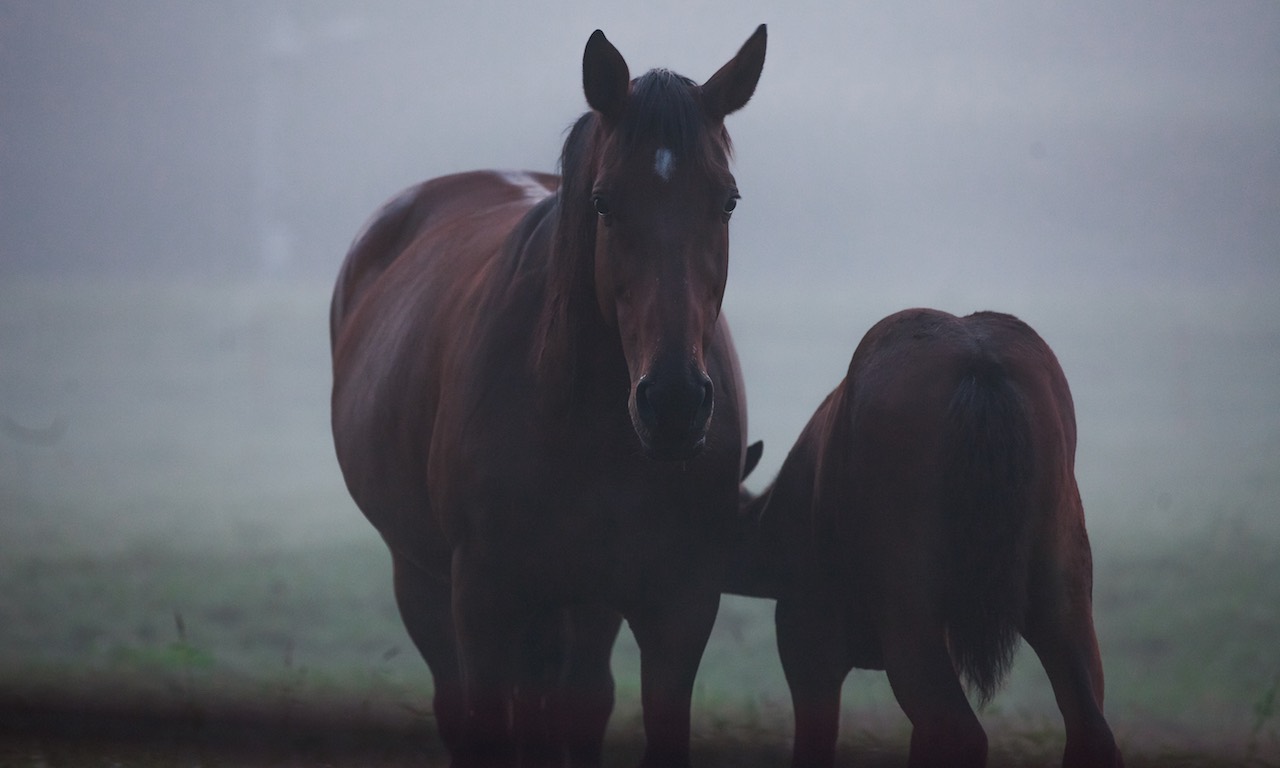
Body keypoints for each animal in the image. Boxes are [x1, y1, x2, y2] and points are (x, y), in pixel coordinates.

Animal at [335, 25, 762, 768]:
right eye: (604, 202)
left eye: (727, 201)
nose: (674, 404)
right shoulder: (482, 597)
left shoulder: (679, 604)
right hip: (425, 580)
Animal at [732, 307, 1121, 768]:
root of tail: (981, 367)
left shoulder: (805, 631)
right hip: (1062, 583)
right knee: (1091, 728)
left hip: (907, 601)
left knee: (956, 730)